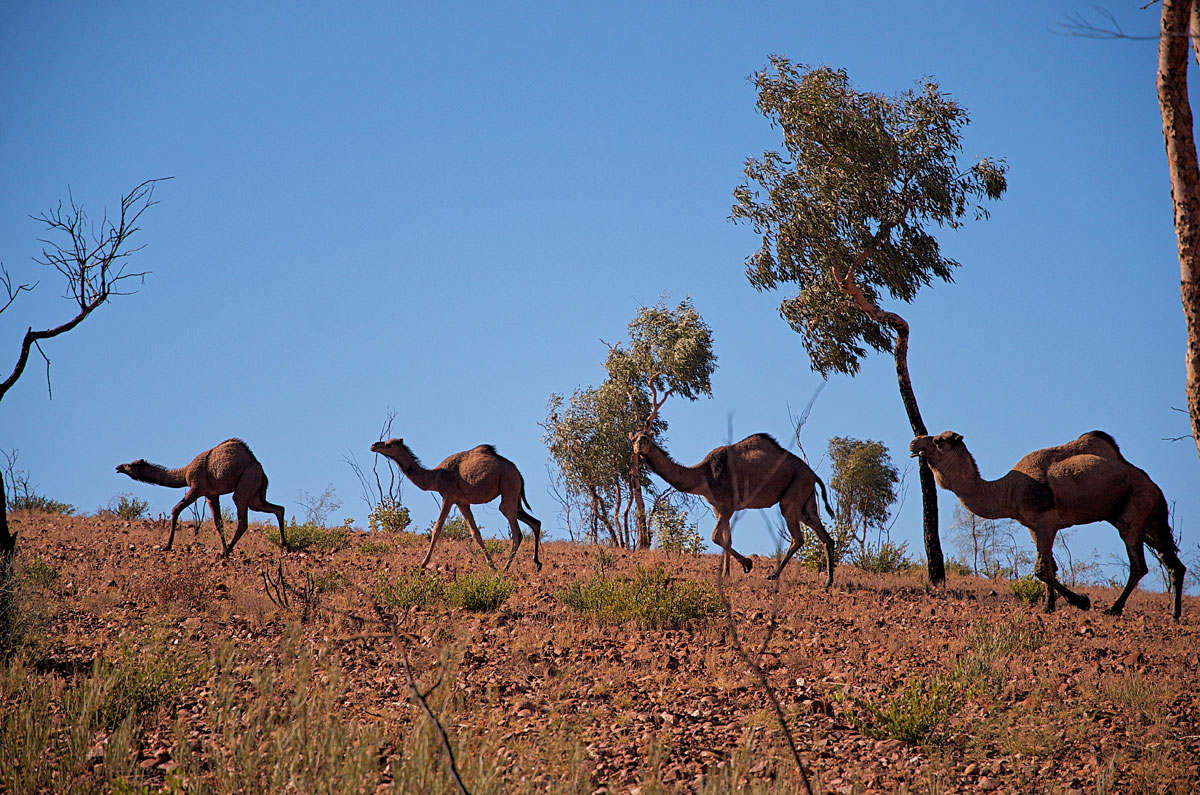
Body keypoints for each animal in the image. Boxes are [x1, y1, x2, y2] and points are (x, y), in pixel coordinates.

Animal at [114, 439, 288, 557]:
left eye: (131, 465)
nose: (118, 467)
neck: (185, 472)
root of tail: (262, 471)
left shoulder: (197, 487)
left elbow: (176, 509)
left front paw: (167, 546)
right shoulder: (211, 494)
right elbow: (218, 523)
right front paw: (223, 548)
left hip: (246, 482)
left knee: (242, 518)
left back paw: (229, 551)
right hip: (255, 495)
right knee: (277, 509)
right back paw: (284, 545)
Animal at [369, 441, 544, 574]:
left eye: (389, 444)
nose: (373, 445)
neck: (435, 477)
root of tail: (519, 473)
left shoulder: (448, 496)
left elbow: (437, 528)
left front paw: (422, 564)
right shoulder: (462, 503)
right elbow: (475, 533)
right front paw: (491, 565)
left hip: (508, 483)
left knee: (516, 530)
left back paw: (506, 568)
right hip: (514, 493)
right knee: (534, 521)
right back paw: (537, 563)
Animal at [628, 432, 835, 583]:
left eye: (646, 439)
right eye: (634, 438)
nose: (638, 447)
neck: (703, 475)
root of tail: (813, 475)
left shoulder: (727, 506)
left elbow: (715, 537)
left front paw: (747, 564)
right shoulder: (719, 508)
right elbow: (726, 538)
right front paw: (727, 573)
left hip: (793, 494)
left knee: (797, 538)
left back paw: (773, 575)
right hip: (806, 499)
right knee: (825, 536)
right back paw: (828, 582)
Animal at [912, 432, 1185, 619]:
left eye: (939, 441)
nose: (914, 442)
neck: (1008, 490)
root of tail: (1155, 487)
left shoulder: (1047, 522)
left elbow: (1042, 569)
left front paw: (1081, 601)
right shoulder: (1033, 526)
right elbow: (1049, 566)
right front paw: (1048, 606)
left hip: (1135, 508)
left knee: (1139, 564)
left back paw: (1114, 608)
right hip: (1148, 520)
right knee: (1172, 561)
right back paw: (1174, 614)